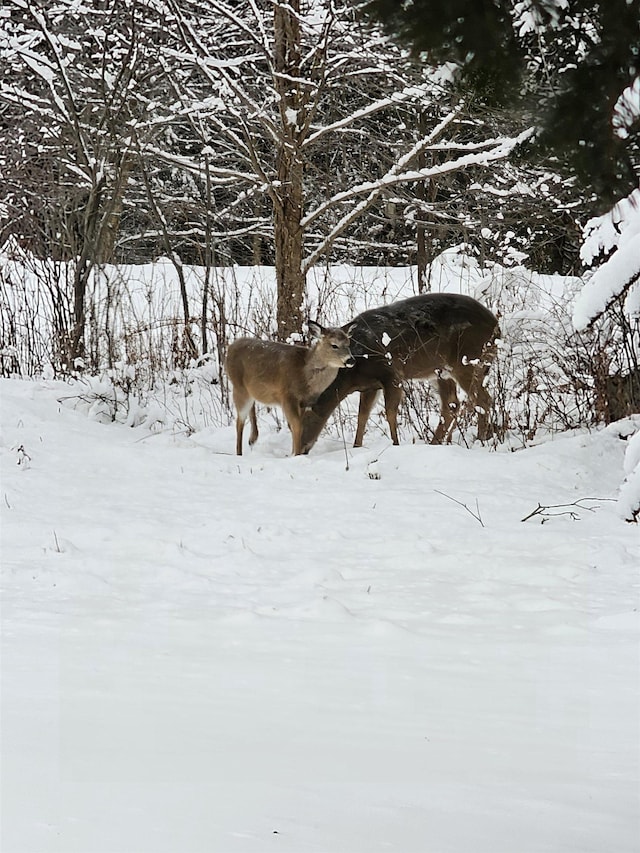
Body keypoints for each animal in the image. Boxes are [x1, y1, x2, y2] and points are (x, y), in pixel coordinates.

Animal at [225, 318, 356, 452]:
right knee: (239, 421)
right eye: (334, 345)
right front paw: (296, 454)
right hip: (238, 386)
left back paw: (252, 439)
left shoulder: (304, 403)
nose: (350, 360)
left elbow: (298, 426)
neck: (304, 374)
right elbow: (296, 426)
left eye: (348, 343)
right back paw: (239, 452)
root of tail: (230, 347)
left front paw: (294, 451)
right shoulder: (287, 397)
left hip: (248, 389)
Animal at [300, 292, 500, 452]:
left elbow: (390, 413)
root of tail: (496, 327)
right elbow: (362, 416)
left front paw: (395, 444)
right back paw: (436, 443)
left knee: (482, 400)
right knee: (451, 405)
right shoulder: (369, 385)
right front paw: (357, 447)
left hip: (469, 361)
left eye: (304, 421)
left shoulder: (392, 374)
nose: (300, 449)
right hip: (441, 370)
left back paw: (481, 441)